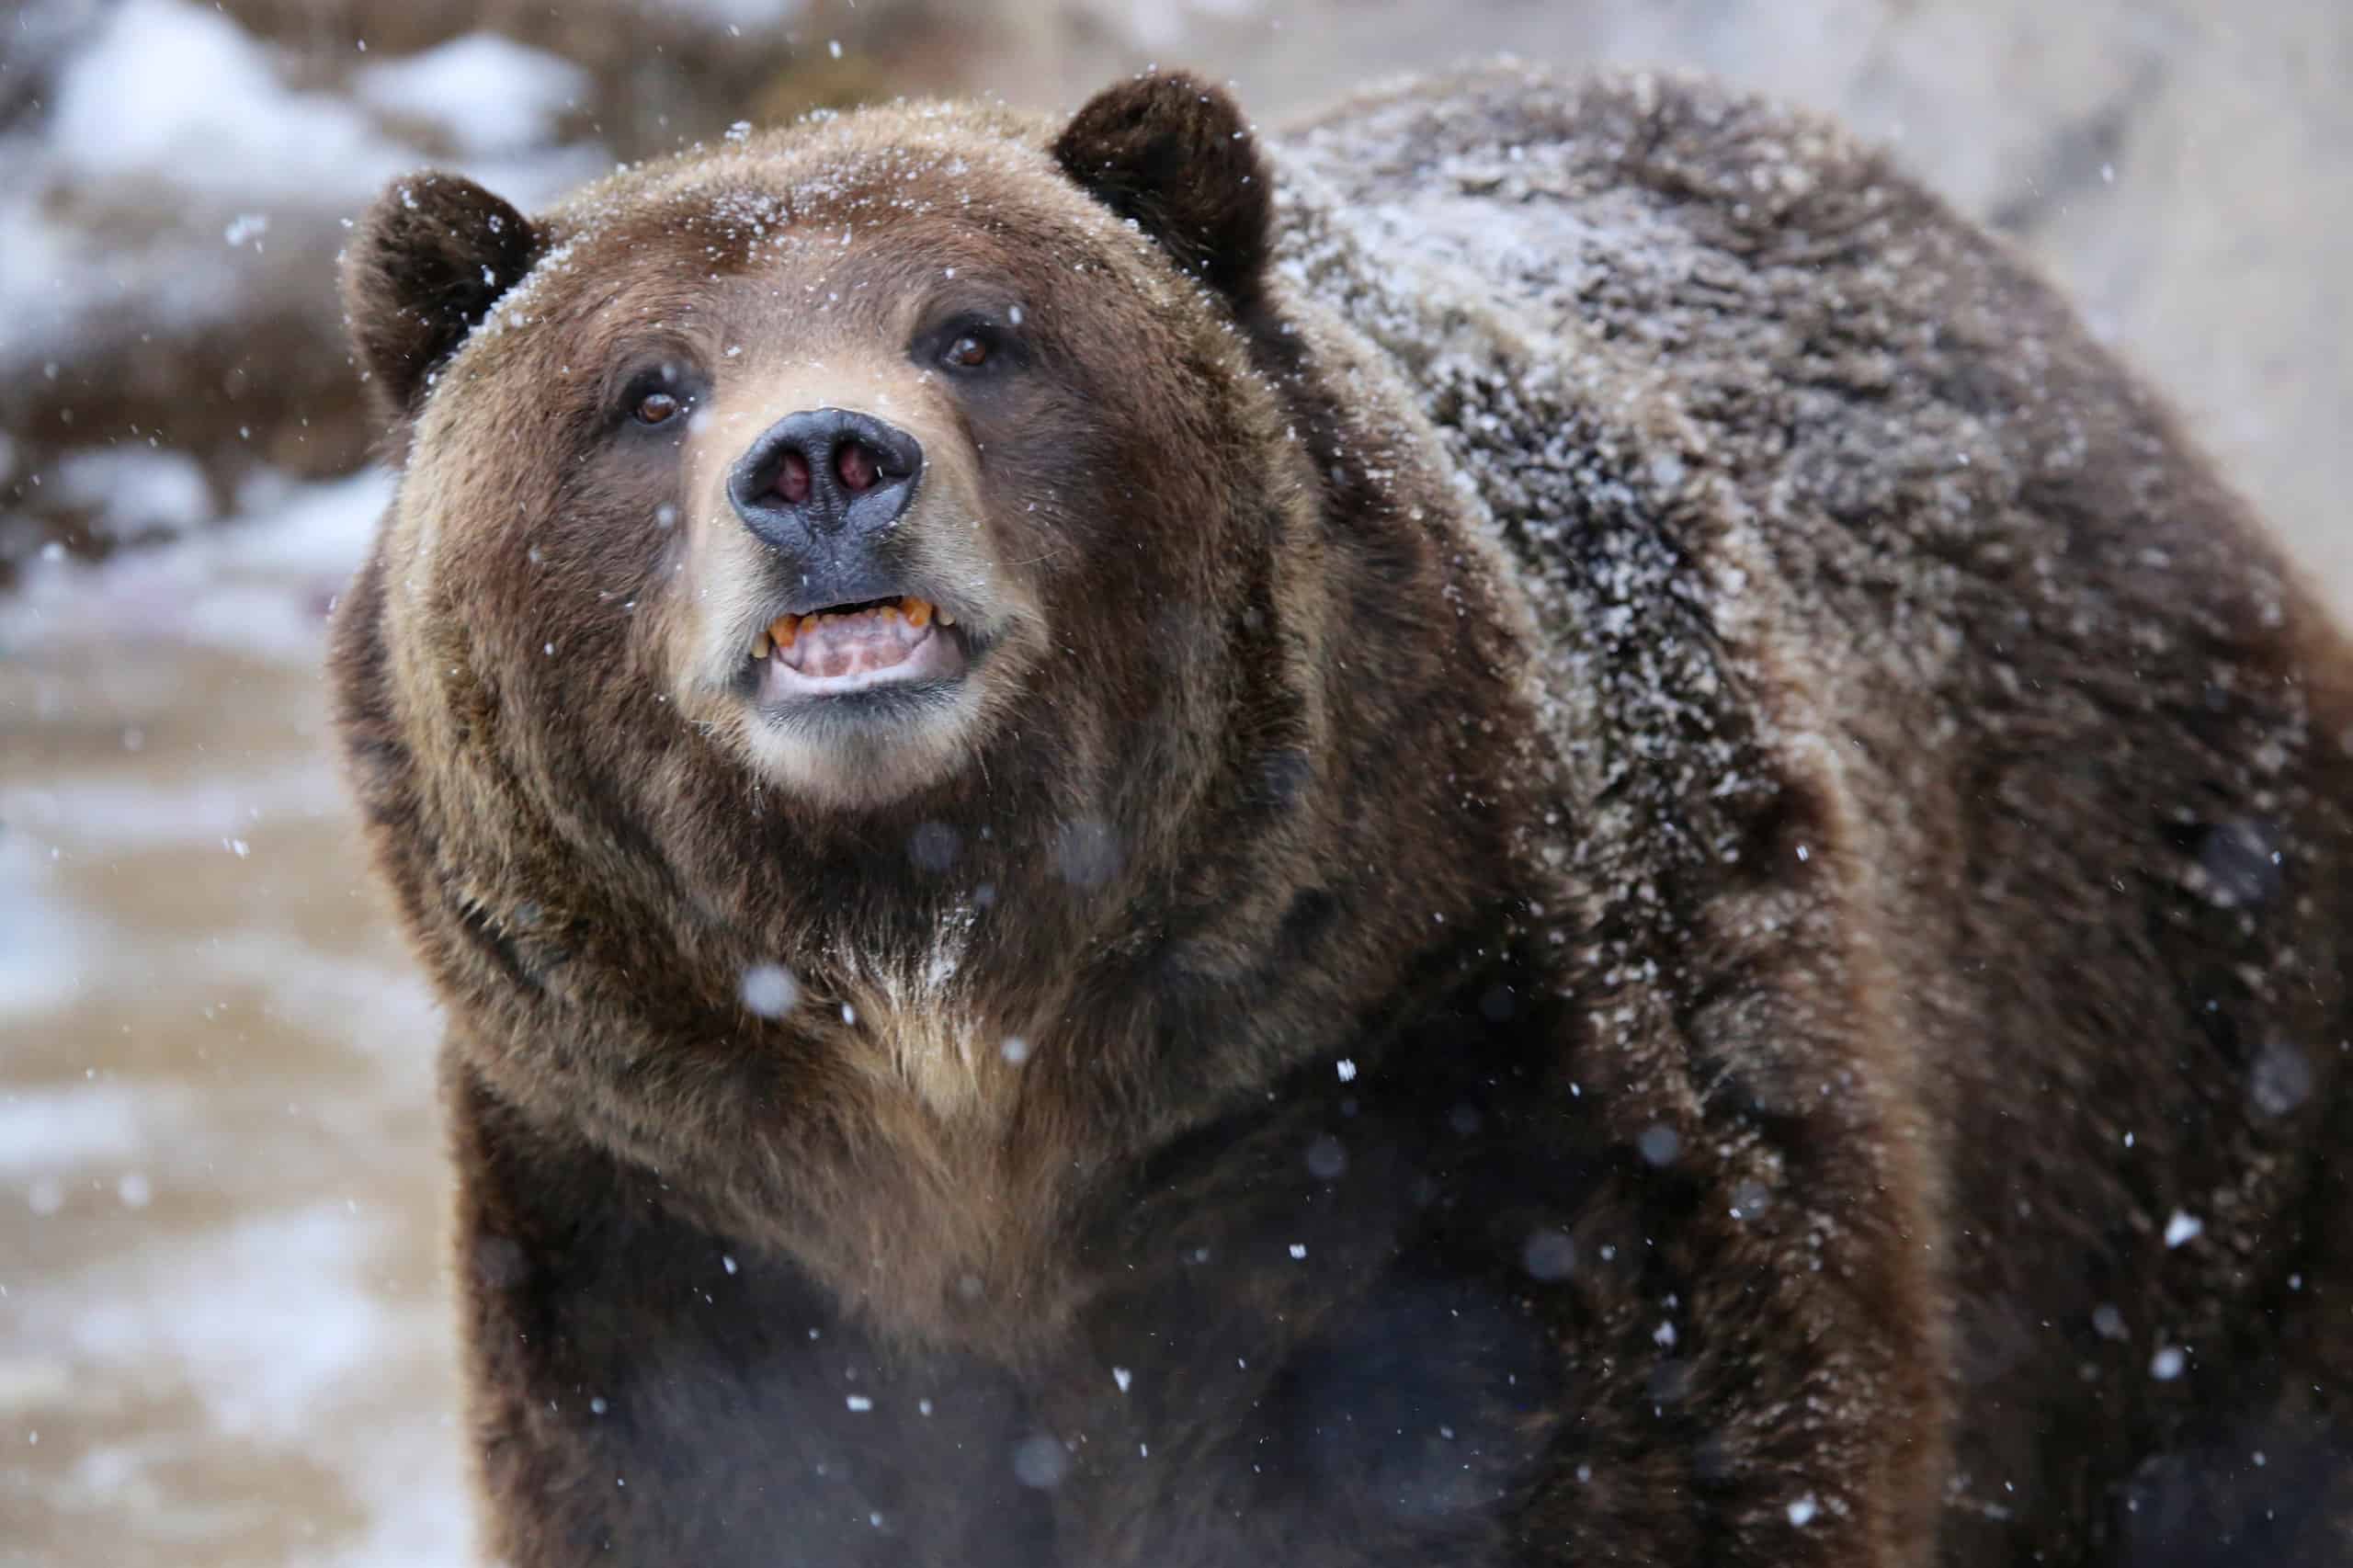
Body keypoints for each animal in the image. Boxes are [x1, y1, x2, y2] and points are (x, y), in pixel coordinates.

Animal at [328, 62, 2353, 1567]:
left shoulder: (1439, 1126)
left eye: (977, 331)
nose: (825, 462)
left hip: (2158, 1046)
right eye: (645, 386)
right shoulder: (673, 1248)